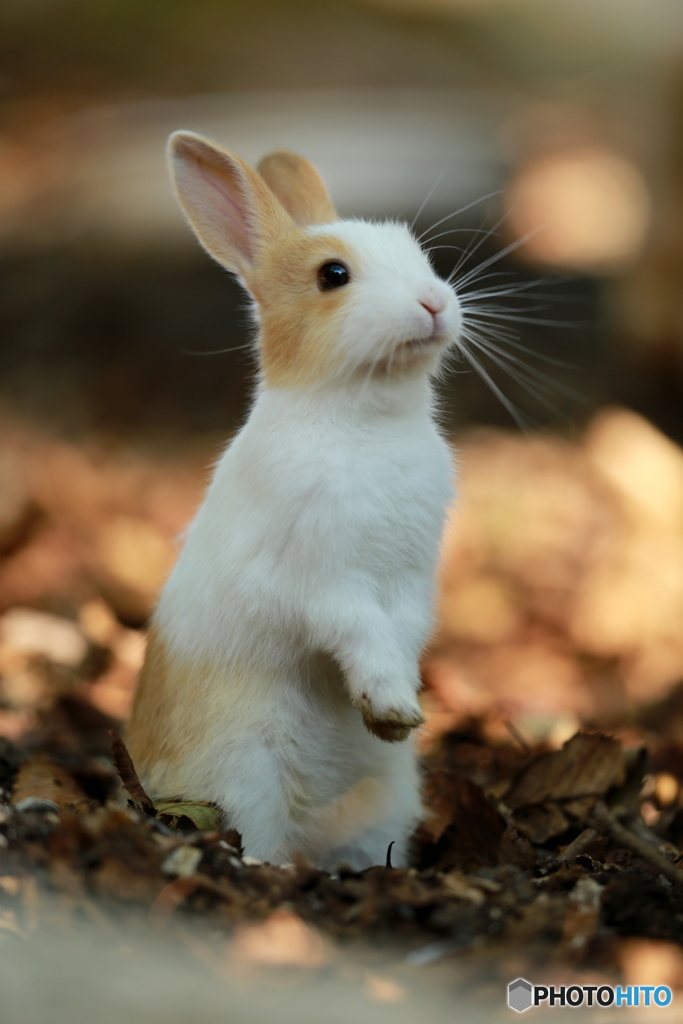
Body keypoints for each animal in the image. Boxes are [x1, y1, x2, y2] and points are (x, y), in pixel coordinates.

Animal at [125, 132, 462, 872]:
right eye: (332, 275)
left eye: (418, 253)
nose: (433, 302)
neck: (365, 420)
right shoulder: (317, 579)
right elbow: (357, 628)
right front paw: (390, 703)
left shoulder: (412, 577)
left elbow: (405, 628)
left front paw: (398, 711)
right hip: (245, 772)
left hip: (386, 795)